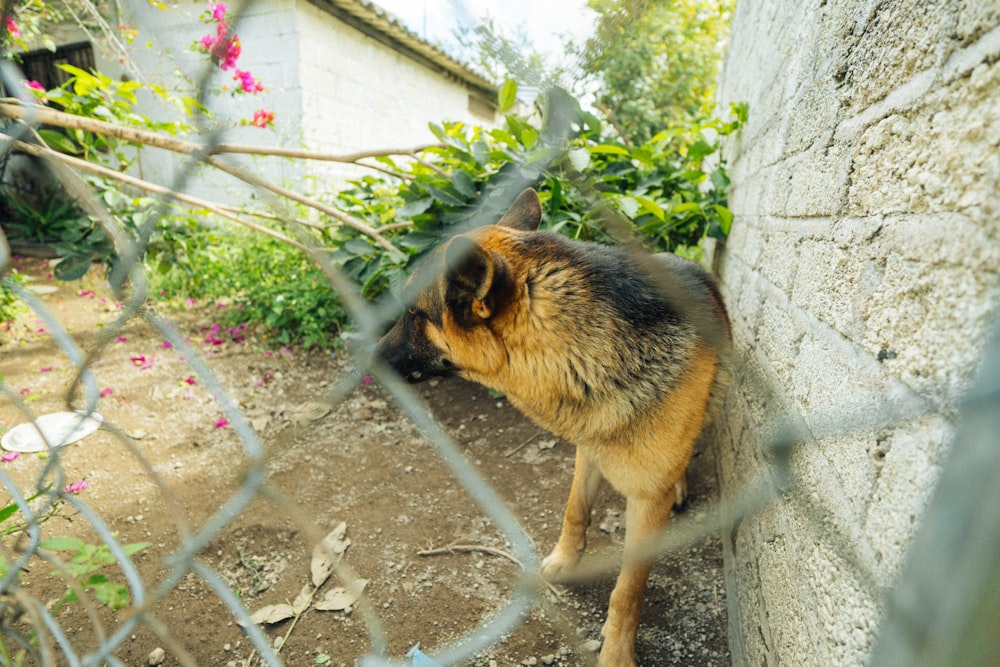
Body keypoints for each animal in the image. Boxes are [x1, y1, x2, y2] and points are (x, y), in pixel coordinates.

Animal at [378, 188, 732, 667]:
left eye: (415, 315)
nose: (364, 353)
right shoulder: (588, 447)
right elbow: (575, 510)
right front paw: (566, 558)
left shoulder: (644, 503)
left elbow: (628, 590)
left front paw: (616, 652)